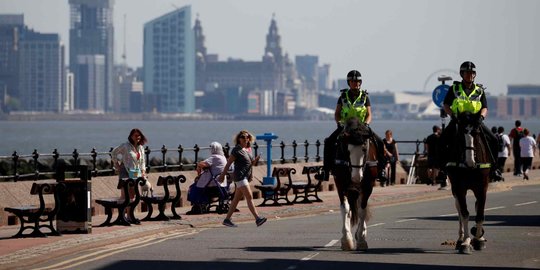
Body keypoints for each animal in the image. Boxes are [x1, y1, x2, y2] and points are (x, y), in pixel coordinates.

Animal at [334, 118, 380, 251]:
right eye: (348, 150)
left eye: (364, 150)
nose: (356, 177)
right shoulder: (340, 184)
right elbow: (345, 209)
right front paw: (346, 239)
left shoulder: (368, 186)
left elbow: (362, 210)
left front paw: (361, 239)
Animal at [442, 113, 494, 254]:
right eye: (460, 135)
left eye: (476, 133)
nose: (470, 161)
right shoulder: (459, 188)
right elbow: (465, 214)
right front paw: (465, 242)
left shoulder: (482, 187)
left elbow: (480, 214)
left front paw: (478, 239)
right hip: (455, 189)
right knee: (459, 209)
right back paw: (460, 239)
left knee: (476, 206)